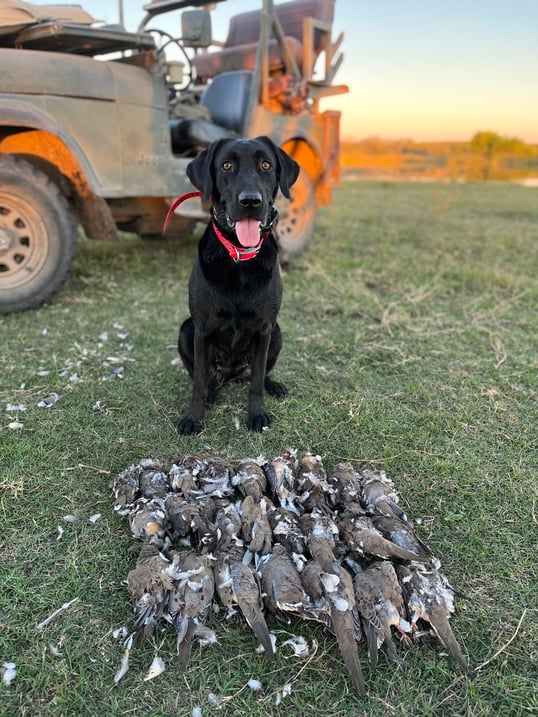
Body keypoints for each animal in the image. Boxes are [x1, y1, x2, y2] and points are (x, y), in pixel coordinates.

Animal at [177, 136, 300, 434]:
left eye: (266, 165)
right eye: (226, 165)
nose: (250, 201)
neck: (239, 259)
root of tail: (232, 374)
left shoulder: (265, 329)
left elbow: (256, 382)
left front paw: (257, 414)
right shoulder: (201, 329)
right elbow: (198, 381)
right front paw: (193, 417)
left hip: (277, 334)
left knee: (259, 374)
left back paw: (274, 386)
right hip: (185, 329)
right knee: (205, 377)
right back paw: (212, 392)